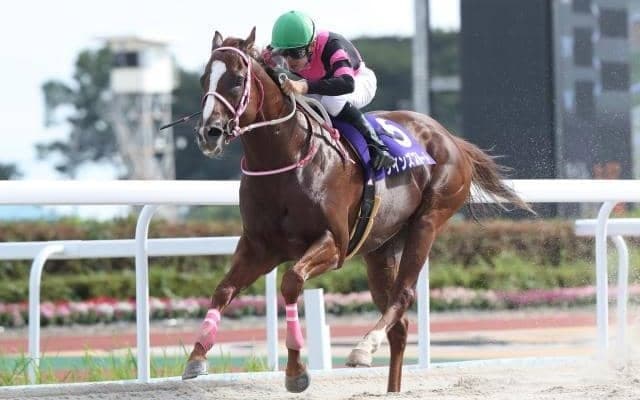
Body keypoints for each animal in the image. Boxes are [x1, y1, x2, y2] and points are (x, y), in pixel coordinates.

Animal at [182, 28, 531, 393]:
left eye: (237, 80)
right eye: (204, 79)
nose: (209, 133)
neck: (285, 158)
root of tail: (450, 138)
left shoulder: (334, 243)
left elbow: (291, 282)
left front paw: (296, 371)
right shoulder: (259, 247)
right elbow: (223, 289)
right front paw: (197, 357)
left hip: (429, 220)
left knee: (403, 296)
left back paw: (364, 347)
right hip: (379, 250)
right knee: (400, 325)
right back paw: (390, 387)